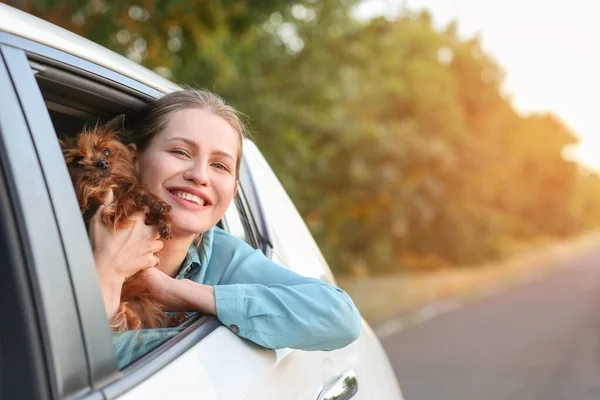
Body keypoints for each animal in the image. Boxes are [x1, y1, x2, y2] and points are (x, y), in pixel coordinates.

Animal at [61, 115, 176, 332]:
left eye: (106, 151)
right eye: (78, 161)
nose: (102, 163)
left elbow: (142, 198)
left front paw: (161, 213)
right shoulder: (110, 210)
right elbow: (128, 197)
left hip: (142, 302)